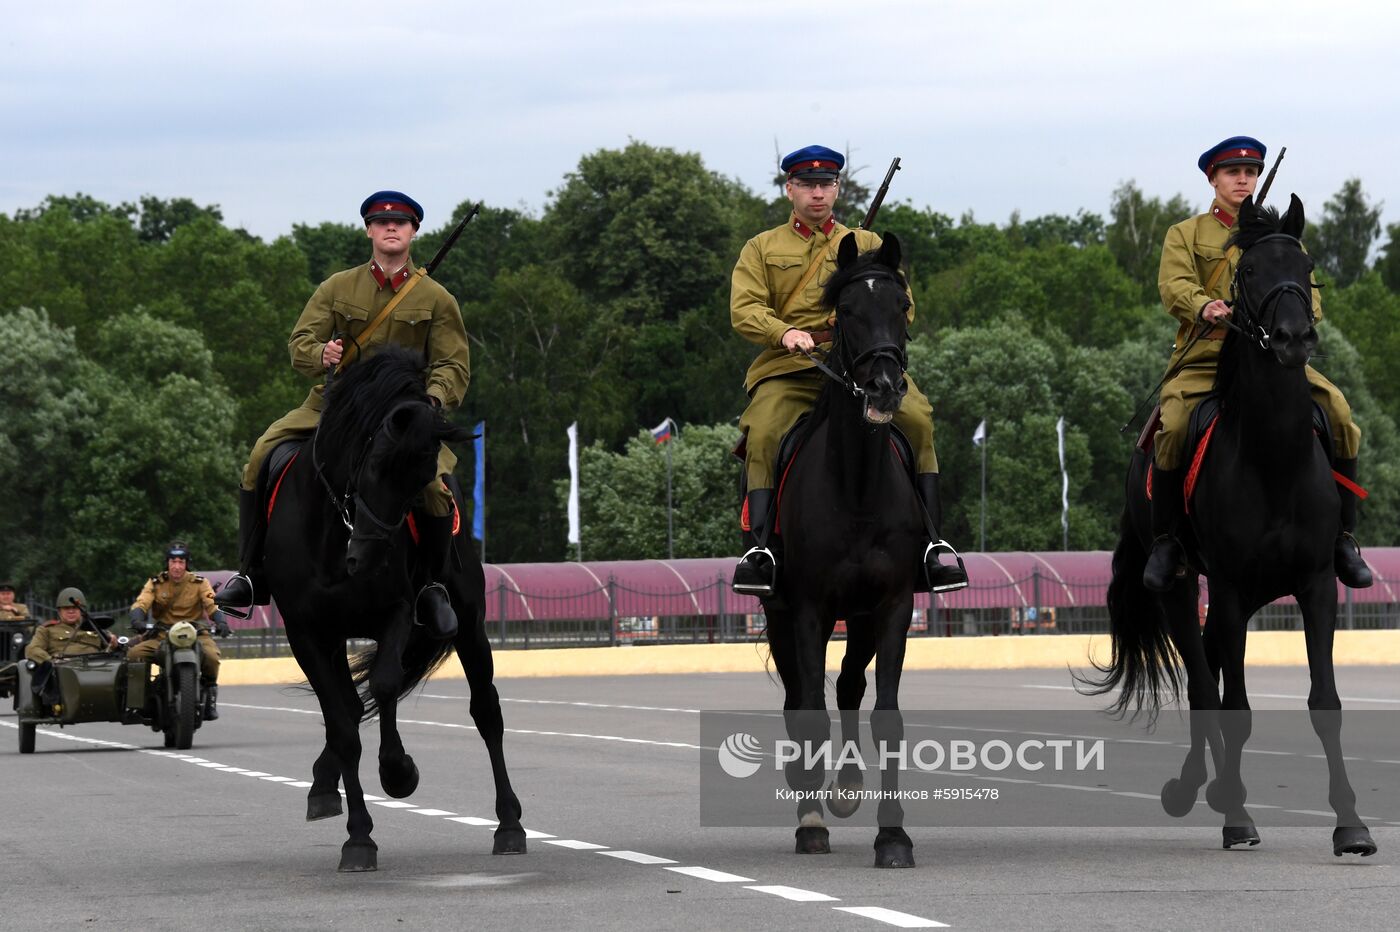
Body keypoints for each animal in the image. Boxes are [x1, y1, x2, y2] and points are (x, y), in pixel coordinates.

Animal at [263, 342, 526, 873]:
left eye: (422, 481)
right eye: (371, 466)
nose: (367, 559)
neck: (333, 536)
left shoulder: (398, 612)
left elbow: (383, 687)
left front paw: (398, 771)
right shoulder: (307, 633)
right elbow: (344, 725)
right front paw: (358, 836)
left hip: (469, 624)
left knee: (486, 712)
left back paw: (509, 824)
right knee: (345, 712)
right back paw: (324, 784)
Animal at [761, 230, 935, 862]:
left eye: (902, 307)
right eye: (847, 312)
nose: (885, 386)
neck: (857, 486)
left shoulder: (893, 607)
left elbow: (886, 715)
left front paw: (894, 835)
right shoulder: (808, 610)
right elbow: (809, 710)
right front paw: (811, 823)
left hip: (858, 618)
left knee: (850, 685)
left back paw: (847, 784)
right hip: (780, 612)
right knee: (799, 696)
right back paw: (810, 794)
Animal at [1080, 195, 1377, 856]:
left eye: (1306, 265)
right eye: (1248, 272)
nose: (1294, 338)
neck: (1274, 457)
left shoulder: (1315, 584)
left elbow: (1325, 701)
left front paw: (1351, 823)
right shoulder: (1234, 588)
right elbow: (1233, 705)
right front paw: (1238, 814)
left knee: (1210, 670)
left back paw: (1208, 785)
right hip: (1181, 586)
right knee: (1201, 681)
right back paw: (1209, 793)